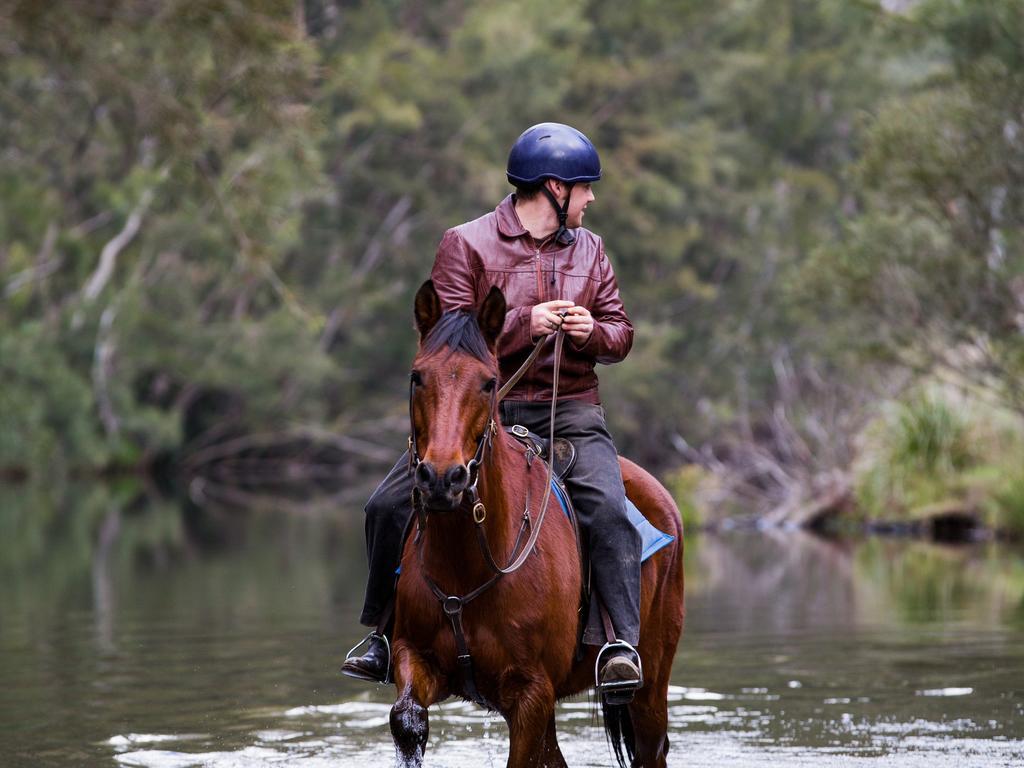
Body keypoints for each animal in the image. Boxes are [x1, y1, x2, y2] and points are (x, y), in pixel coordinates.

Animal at [387, 282, 684, 768]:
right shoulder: (415, 658)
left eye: (488, 381)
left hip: (652, 681)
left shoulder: (532, 695)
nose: (443, 479)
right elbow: (407, 720)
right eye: (417, 377)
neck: (471, 563)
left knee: (651, 747)